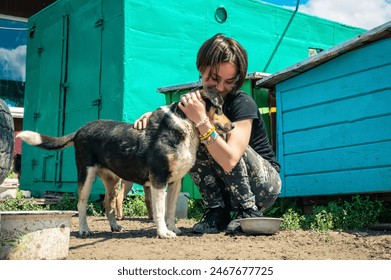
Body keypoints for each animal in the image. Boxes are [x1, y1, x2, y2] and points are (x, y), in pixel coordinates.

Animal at [17, 89, 233, 238]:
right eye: (219, 108)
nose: (232, 126)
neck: (185, 126)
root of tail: (79, 130)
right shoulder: (158, 180)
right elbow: (160, 211)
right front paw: (163, 233)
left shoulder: (175, 182)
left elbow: (170, 211)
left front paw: (173, 229)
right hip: (86, 176)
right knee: (81, 204)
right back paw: (85, 230)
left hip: (112, 181)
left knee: (108, 203)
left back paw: (115, 226)